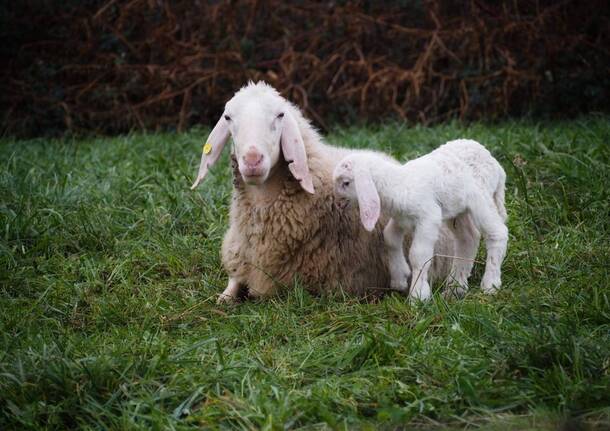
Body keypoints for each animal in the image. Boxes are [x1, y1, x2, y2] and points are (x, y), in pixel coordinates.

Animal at [190, 82, 476, 304]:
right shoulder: (240, 259)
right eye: (228, 118)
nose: (252, 160)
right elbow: (229, 289)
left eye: (280, 115)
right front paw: (224, 298)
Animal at [330, 140, 506, 302]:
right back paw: (455, 288)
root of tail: (497, 165)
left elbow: (418, 255)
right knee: (468, 238)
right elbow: (390, 237)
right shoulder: (400, 219)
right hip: (457, 209)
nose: (337, 203)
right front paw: (399, 278)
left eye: (346, 183)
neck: (398, 184)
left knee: (498, 233)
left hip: (481, 198)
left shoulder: (428, 218)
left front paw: (418, 295)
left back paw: (490, 284)